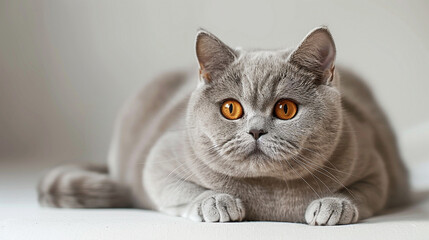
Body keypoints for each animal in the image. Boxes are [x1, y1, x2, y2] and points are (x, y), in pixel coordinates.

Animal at [36, 27, 408, 226]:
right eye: (231, 109)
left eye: (285, 109)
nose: (256, 130)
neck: (269, 197)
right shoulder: (159, 159)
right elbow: (177, 190)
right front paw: (216, 202)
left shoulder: (375, 165)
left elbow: (363, 192)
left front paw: (333, 205)